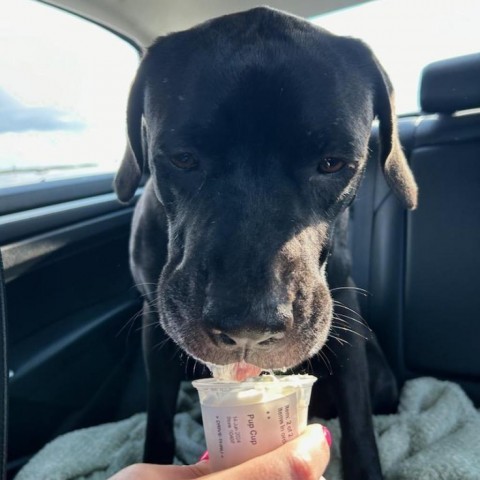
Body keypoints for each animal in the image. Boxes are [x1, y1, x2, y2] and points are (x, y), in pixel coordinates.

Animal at [114, 7, 418, 480]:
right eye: (182, 157)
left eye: (333, 163)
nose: (248, 327)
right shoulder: (154, 324)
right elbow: (159, 419)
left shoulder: (344, 310)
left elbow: (359, 420)